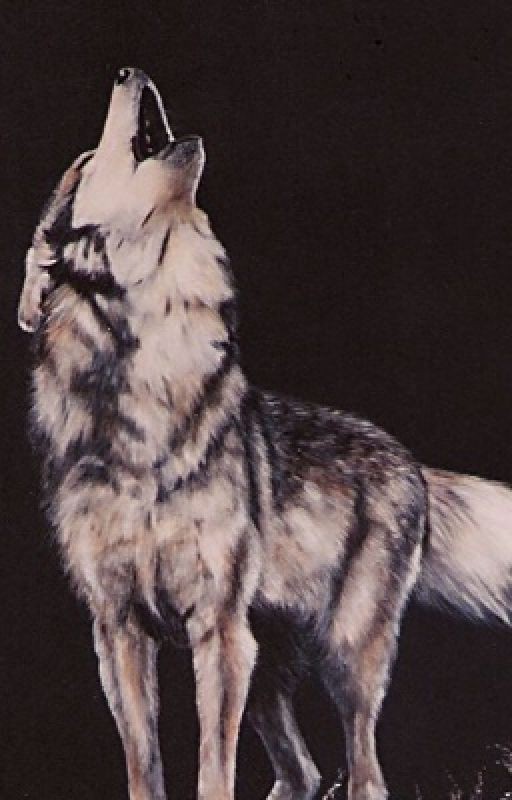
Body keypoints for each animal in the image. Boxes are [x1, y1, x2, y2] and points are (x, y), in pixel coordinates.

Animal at [17, 68, 512, 800]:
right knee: (302, 772)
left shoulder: (217, 630)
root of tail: (408, 458)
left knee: (364, 774)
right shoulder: (119, 632)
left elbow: (211, 773)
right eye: (87, 160)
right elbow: (145, 768)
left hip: (345, 656)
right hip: (268, 669)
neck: (149, 383)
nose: (128, 72)